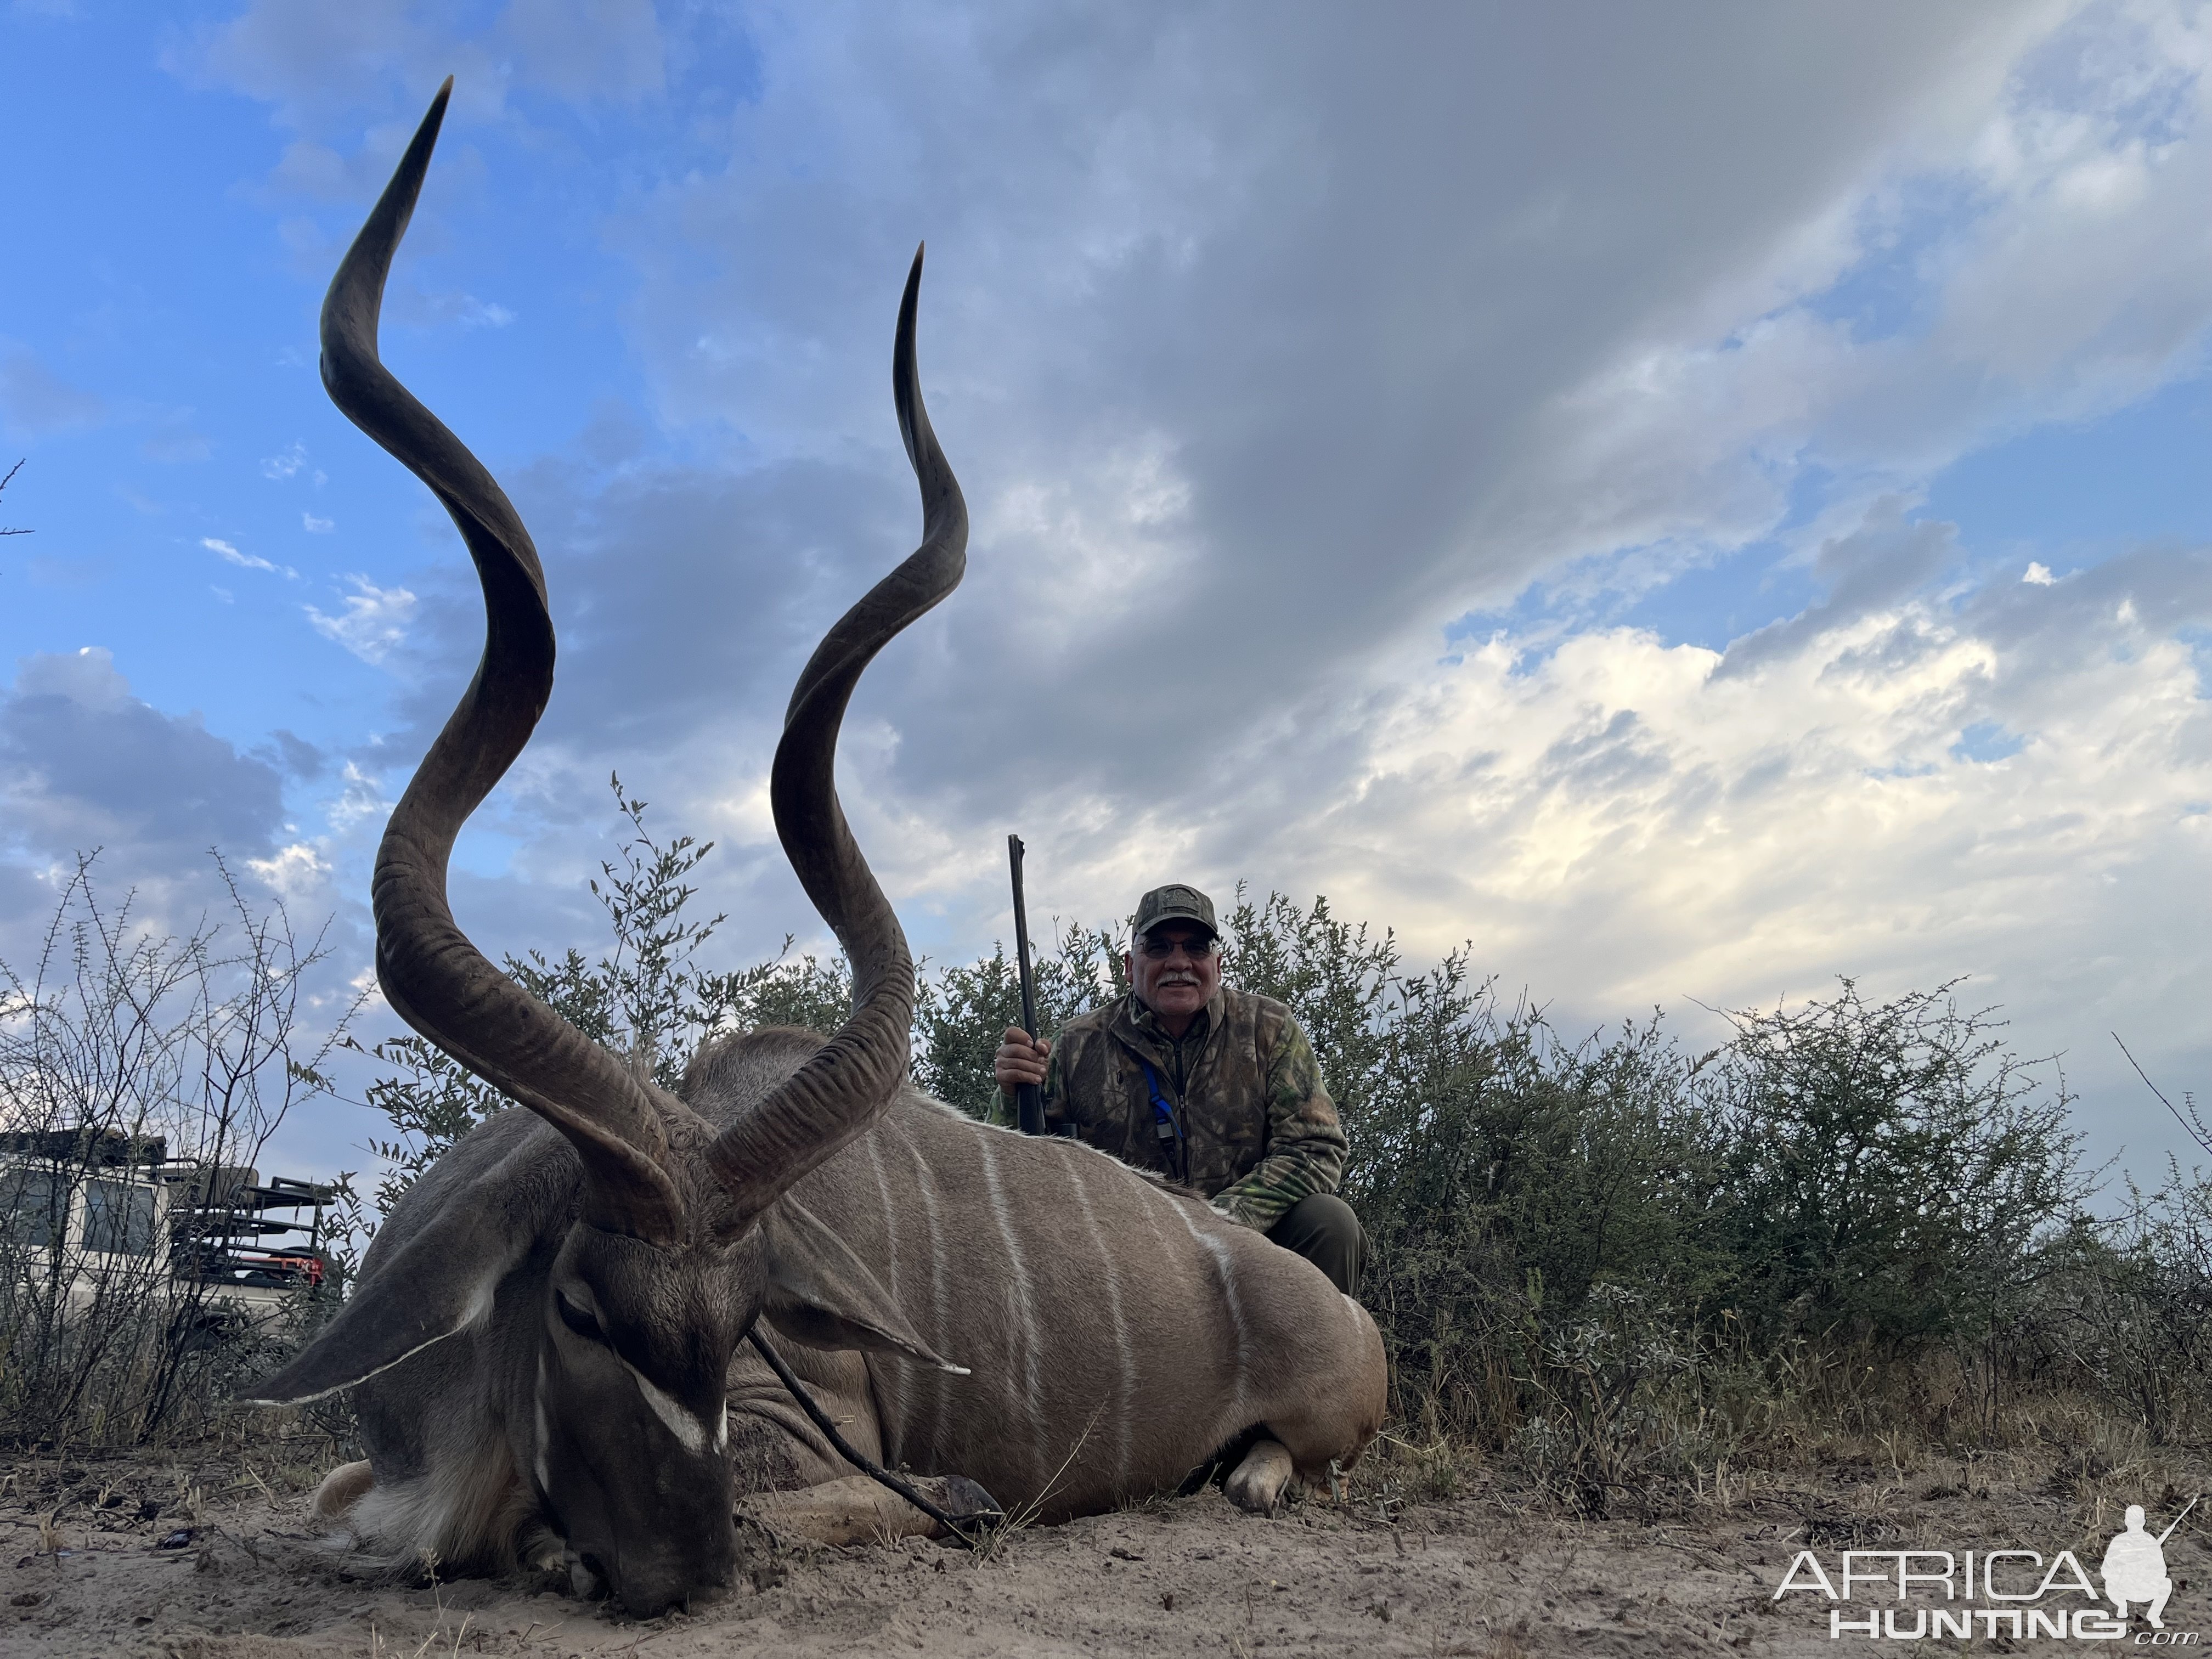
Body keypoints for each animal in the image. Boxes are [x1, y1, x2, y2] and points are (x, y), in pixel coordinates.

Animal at [254, 81, 1380, 1628]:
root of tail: (1328, 1305)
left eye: (744, 1321)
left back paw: (1248, 1476)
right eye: (581, 1308)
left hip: (1330, 1409)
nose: (682, 1573)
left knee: (1298, 1455)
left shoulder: (805, 1423)